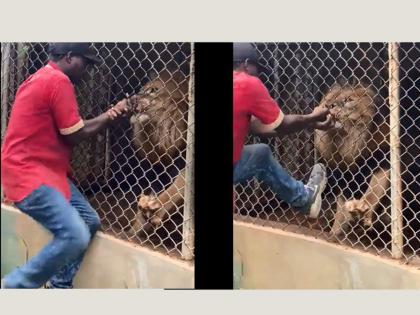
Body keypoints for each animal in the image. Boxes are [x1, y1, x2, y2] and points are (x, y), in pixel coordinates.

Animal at [126, 69, 189, 237]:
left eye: (153, 90)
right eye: (142, 89)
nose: (135, 98)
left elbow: (175, 189)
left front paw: (154, 209)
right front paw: (134, 230)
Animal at [316, 80, 390, 238]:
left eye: (348, 100)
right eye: (329, 100)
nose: (329, 106)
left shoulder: (382, 159)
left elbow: (374, 189)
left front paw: (362, 206)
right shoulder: (345, 174)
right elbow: (340, 208)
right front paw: (335, 231)